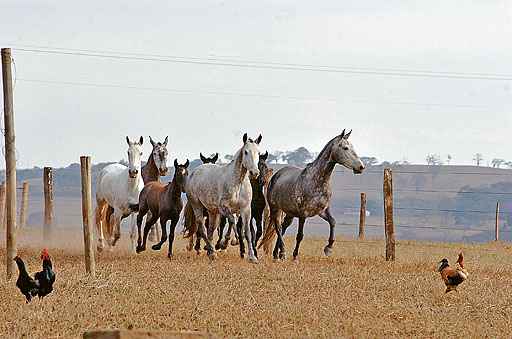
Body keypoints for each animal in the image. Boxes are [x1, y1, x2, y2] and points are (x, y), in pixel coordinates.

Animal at [184, 134, 262, 264]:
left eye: (259, 153)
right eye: (246, 152)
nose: (255, 173)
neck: (238, 182)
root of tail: (194, 172)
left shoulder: (245, 209)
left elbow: (247, 232)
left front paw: (252, 257)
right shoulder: (223, 208)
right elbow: (232, 221)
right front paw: (225, 244)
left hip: (212, 211)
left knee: (210, 230)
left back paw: (210, 251)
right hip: (197, 206)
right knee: (202, 228)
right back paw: (212, 253)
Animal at [260, 130, 364, 260]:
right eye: (345, 148)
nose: (361, 167)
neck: (317, 181)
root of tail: (276, 175)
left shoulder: (322, 211)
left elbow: (333, 222)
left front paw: (328, 248)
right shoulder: (303, 214)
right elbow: (300, 235)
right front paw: (295, 256)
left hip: (289, 213)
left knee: (283, 227)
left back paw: (276, 254)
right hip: (275, 209)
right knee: (278, 227)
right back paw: (282, 252)